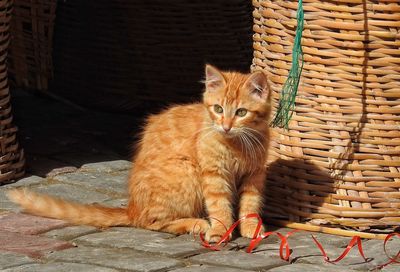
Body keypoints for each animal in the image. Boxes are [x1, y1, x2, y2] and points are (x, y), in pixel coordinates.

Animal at [7, 65, 272, 241]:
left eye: (241, 112)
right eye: (217, 109)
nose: (225, 126)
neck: (237, 144)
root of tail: (131, 208)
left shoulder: (255, 175)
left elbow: (250, 203)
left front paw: (251, 227)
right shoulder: (213, 174)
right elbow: (219, 206)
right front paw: (220, 230)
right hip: (185, 170)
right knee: (150, 223)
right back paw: (195, 223)